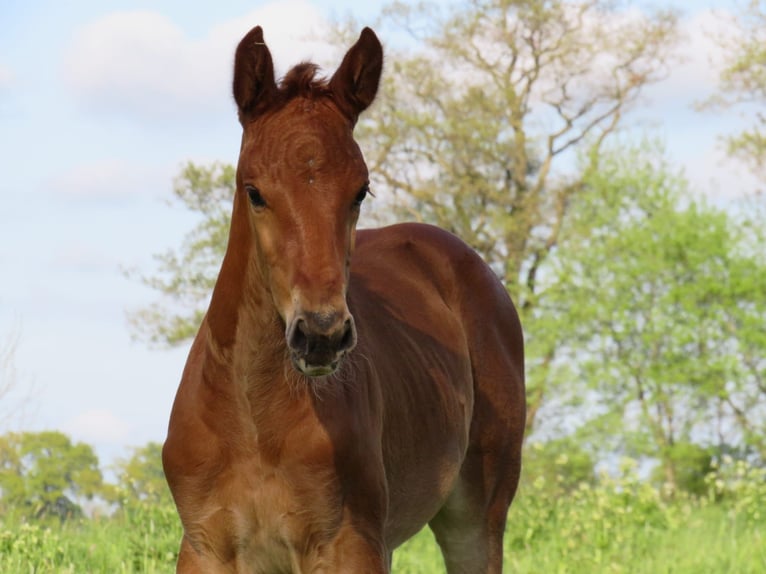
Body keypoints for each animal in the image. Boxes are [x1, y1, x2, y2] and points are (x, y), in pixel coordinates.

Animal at [159, 24, 524, 572]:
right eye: (254, 191)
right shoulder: (204, 548)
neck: (253, 422)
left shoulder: (348, 545)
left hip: (476, 517)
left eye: (361, 190)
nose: (321, 334)